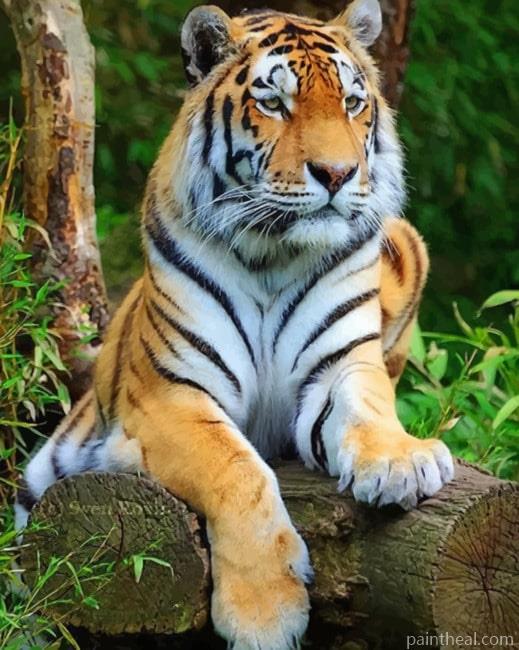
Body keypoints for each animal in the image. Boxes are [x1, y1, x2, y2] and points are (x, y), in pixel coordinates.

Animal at [15, 1, 454, 648]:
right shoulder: (170, 397)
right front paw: (265, 614)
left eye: (353, 102)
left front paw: (403, 461)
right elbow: (237, 469)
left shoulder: (342, 363)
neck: (273, 252)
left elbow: (369, 406)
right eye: (274, 103)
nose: (338, 173)